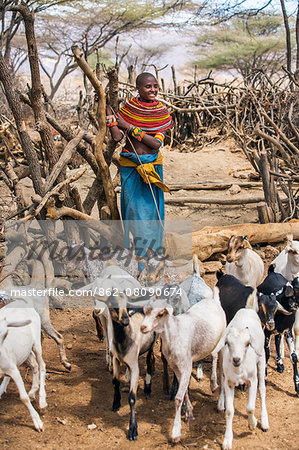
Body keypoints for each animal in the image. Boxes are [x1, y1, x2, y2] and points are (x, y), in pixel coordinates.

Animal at [0, 300, 47, 430]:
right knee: (34, 364)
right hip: (25, 350)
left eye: (5, 334)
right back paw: (33, 390)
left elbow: (23, 397)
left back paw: (42, 401)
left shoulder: (13, 370)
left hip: (36, 343)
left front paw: (38, 422)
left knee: (42, 365)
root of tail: (21, 301)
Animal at [142, 288, 226, 442]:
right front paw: (189, 414)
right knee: (214, 355)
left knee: (222, 370)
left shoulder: (186, 366)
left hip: (223, 343)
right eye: (145, 311)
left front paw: (176, 433)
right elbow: (185, 390)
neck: (175, 333)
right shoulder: (176, 367)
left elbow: (178, 398)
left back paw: (220, 402)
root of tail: (214, 300)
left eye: (160, 314)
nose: (143, 327)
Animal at [214, 310, 270, 450]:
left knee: (262, 389)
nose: (236, 359)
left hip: (261, 358)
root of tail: (247, 309)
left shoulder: (252, 380)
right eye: (227, 343)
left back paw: (264, 421)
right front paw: (227, 441)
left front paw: (252, 424)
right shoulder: (229, 383)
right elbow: (229, 412)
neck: (239, 370)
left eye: (247, 344)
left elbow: (250, 408)